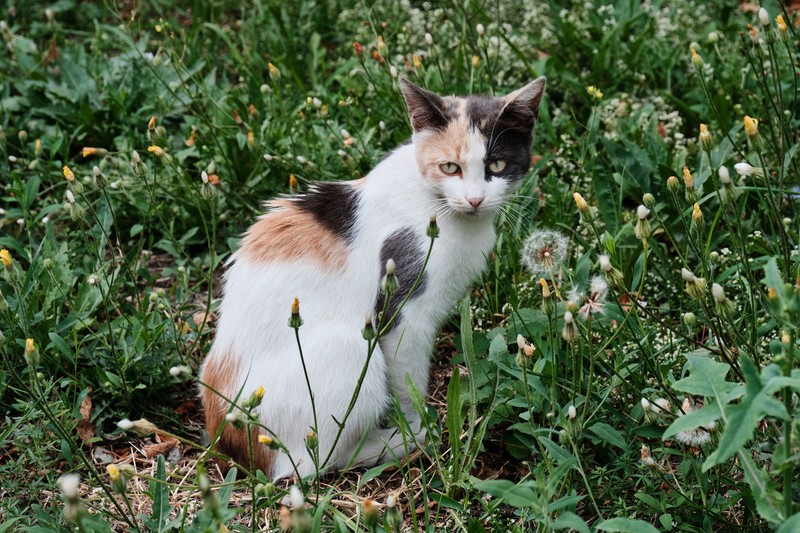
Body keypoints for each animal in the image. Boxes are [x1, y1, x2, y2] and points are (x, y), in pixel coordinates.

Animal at [202, 77, 544, 480]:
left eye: (497, 164)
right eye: (450, 167)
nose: (475, 200)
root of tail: (227, 438)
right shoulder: (404, 313)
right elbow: (409, 382)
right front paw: (419, 425)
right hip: (348, 349)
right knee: (313, 462)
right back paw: (396, 444)